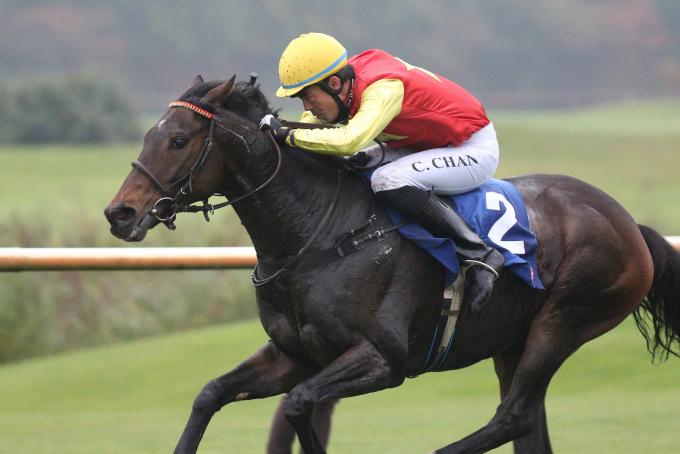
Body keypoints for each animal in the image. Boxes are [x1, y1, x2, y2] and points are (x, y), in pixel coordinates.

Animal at [102, 76, 680, 452]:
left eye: (178, 140)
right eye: (148, 135)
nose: (119, 213)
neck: (318, 235)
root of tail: (631, 225)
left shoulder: (383, 360)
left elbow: (300, 405)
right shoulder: (294, 354)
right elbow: (211, 395)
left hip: (565, 320)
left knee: (513, 416)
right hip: (512, 342)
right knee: (526, 423)